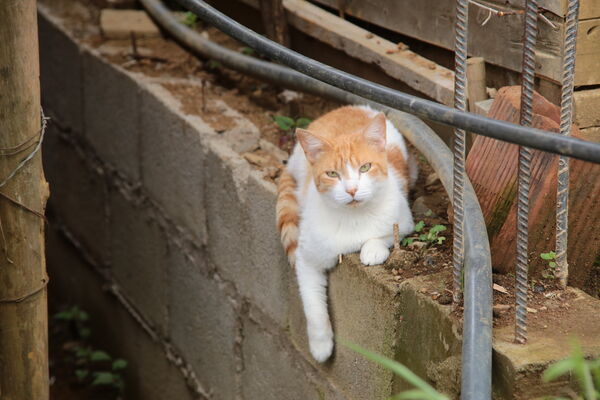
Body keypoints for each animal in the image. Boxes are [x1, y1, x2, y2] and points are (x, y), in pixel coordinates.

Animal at [276, 104, 418, 360]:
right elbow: (313, 305)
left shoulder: (404, 221)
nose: (352, 190)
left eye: (365, 167)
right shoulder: (306, 258)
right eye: (332, 174)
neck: (353, 218)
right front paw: (320, 344)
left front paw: (372, 250)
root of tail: (348, 106)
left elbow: (383, 234)